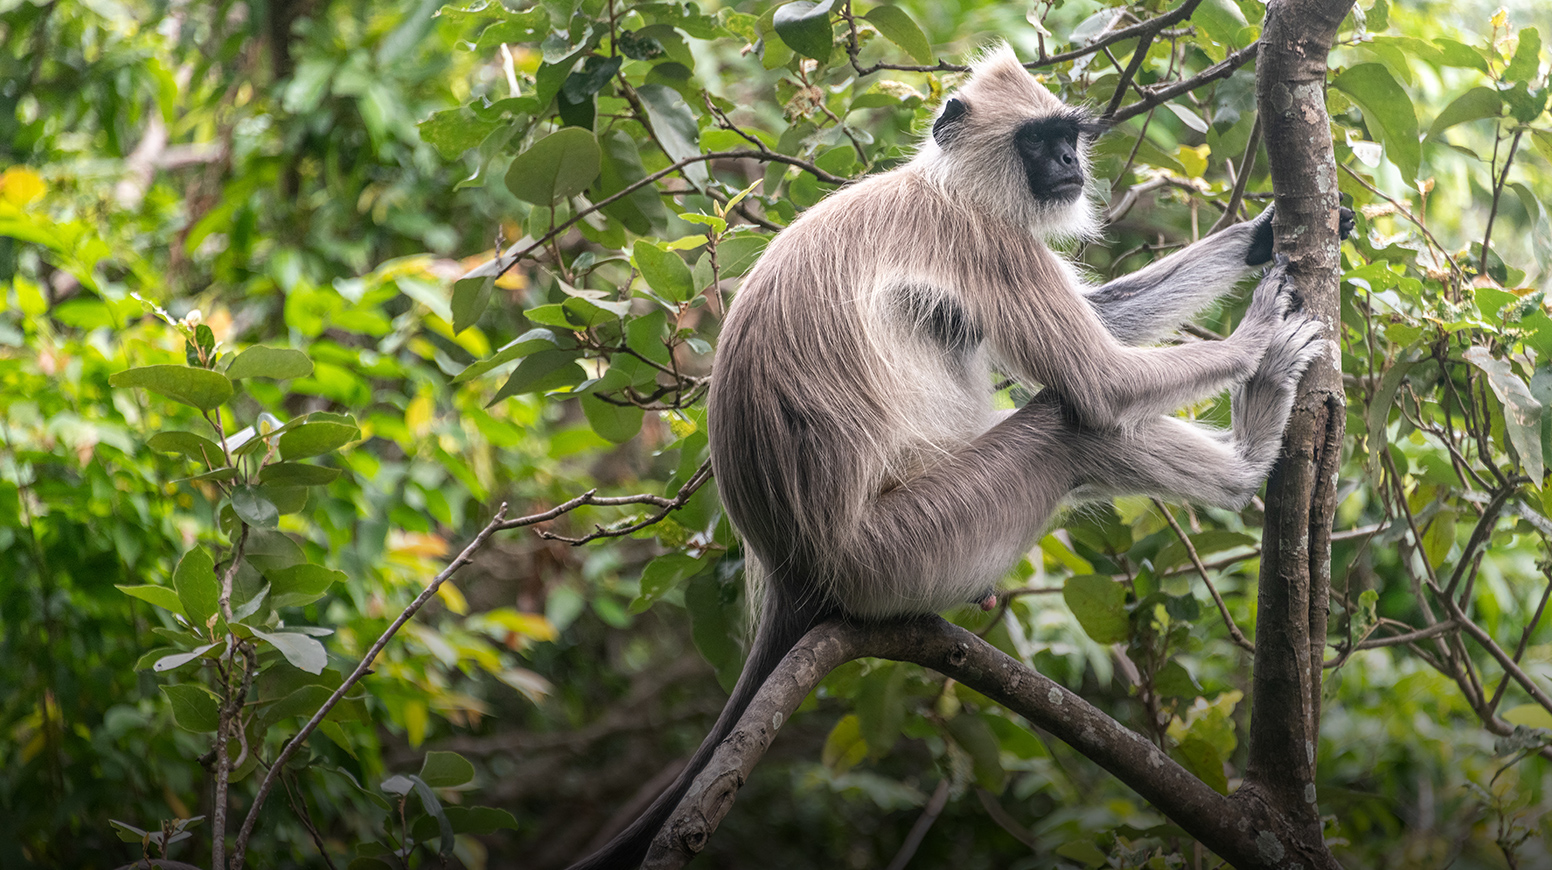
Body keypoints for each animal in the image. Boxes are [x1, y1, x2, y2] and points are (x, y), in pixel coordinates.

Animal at [566, 44, 1353, 870]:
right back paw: (1252, 452)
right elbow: (1100, 383)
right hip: (904, 547)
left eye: (1067, 136)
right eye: (1039, 143)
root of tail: (791, 561)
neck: (942, 185)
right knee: (1071, 425)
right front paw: (1260, 339)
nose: (1069, 163)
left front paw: (1260, 236)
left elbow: (1103, 325)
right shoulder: (983, 242)